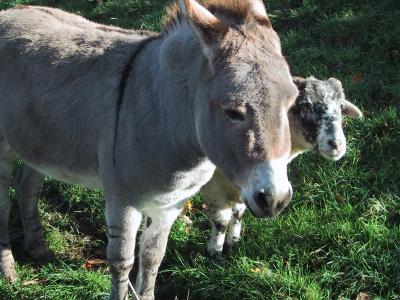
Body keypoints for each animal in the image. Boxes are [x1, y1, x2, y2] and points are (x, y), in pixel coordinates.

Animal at [203, 77, 362, 258]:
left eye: (341, 107)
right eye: (304, 107)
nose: (336, 144)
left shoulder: (248, 185)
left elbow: (238, 213)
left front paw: (233, 242)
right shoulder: (214, 185)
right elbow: (220, 221)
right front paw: (214, 252)